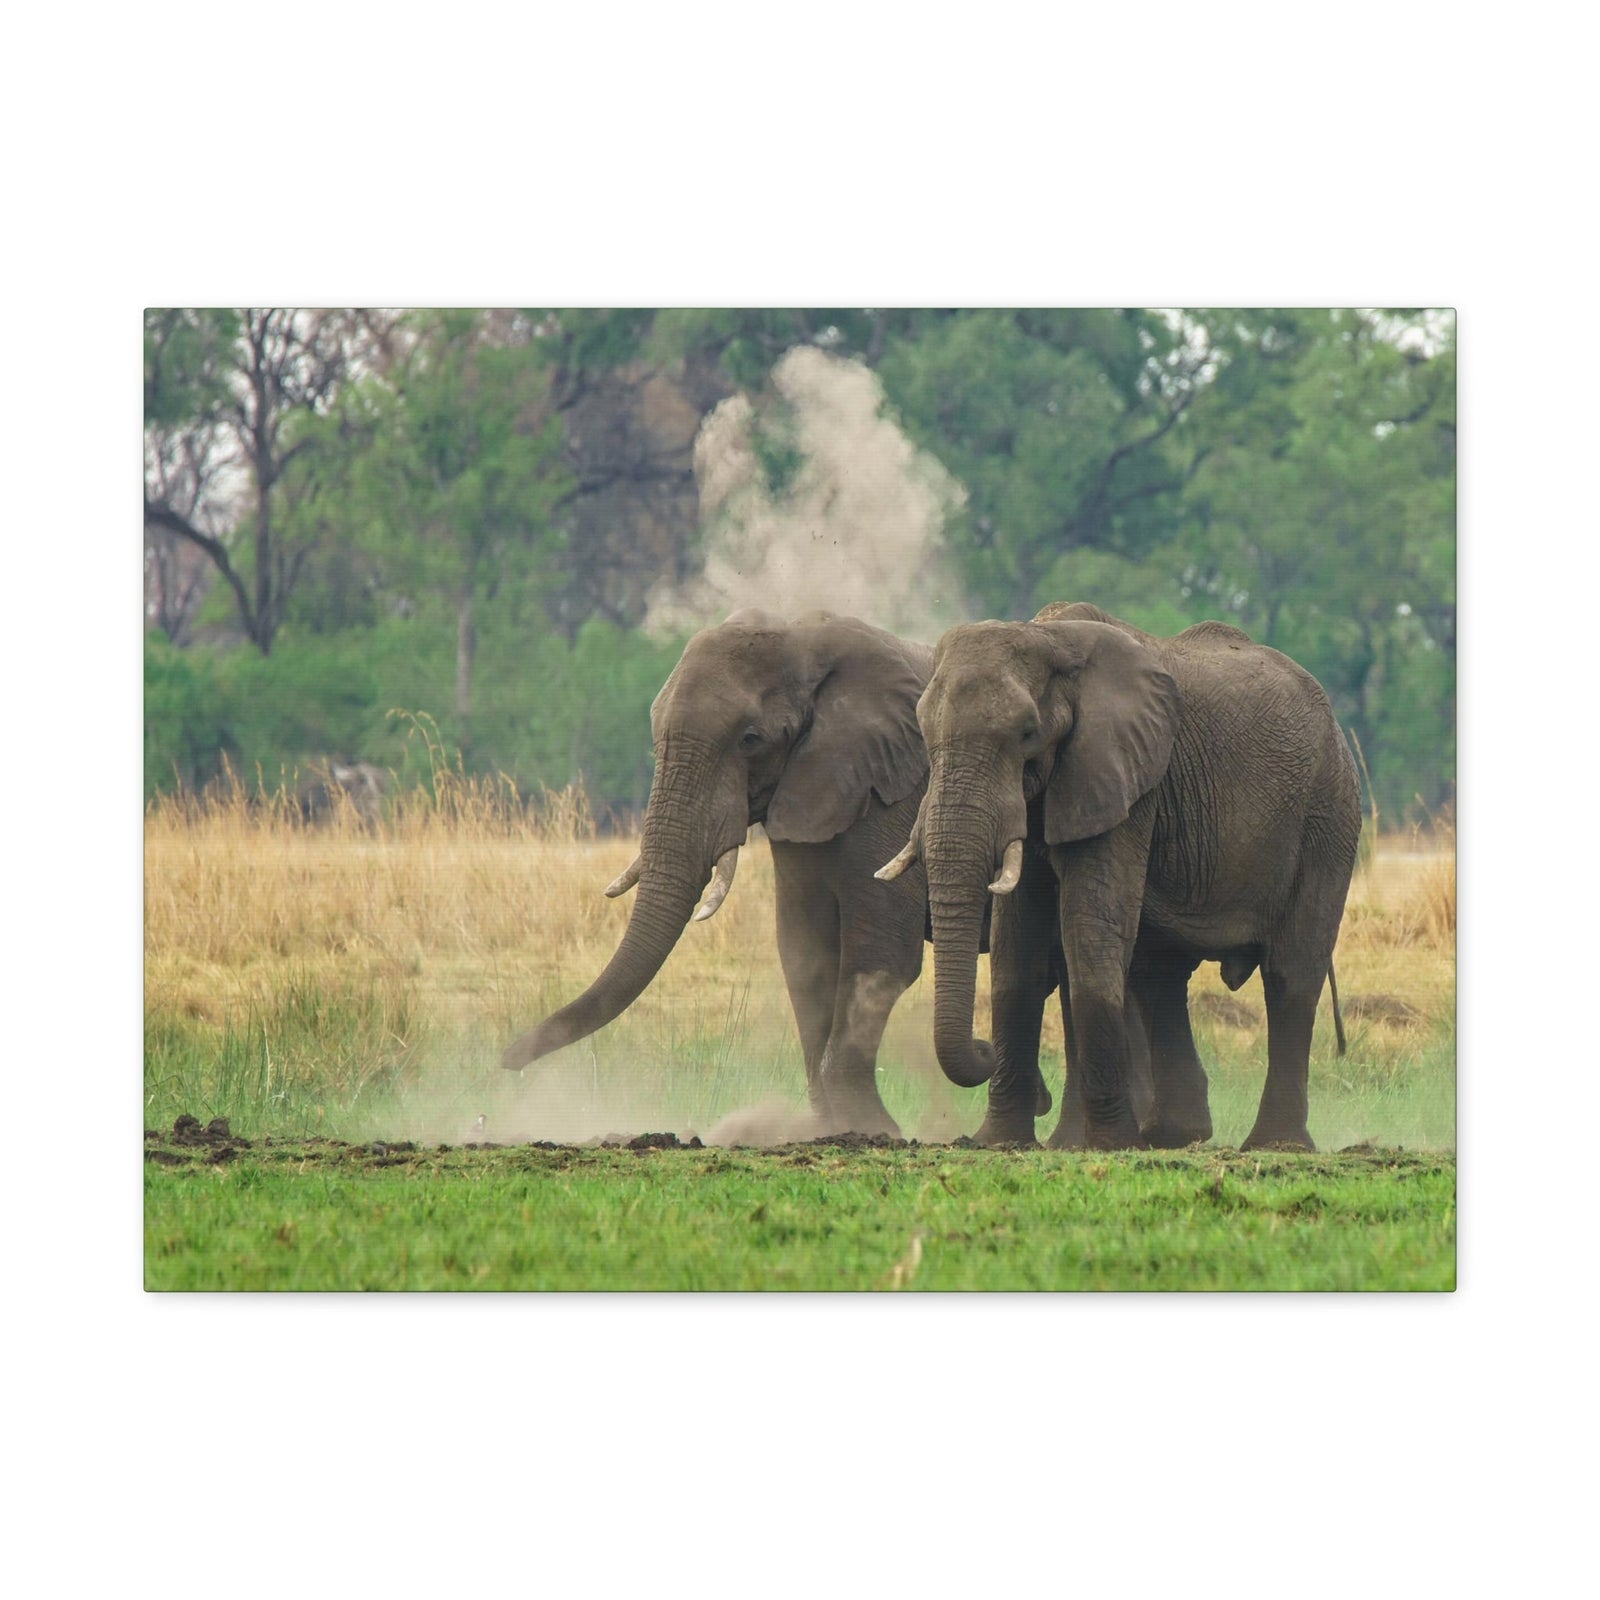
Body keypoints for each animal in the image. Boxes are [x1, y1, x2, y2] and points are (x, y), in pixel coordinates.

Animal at [501, 609, 1016, 1139]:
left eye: (750, 740)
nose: (507, 1062)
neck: (806, 639)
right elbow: (804, 955)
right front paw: (831, 1128)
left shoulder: (890, 793)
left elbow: (880, 955)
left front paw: (873, 1129)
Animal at [877, 601, 1360, 1152]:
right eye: (923, 733)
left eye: (1026, 733)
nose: (982, 1049)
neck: (1049, 638)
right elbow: (1016, 950)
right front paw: (997, 1142)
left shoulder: (1123, 780)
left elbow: (1089, 930)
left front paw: (1105, 1144)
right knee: (1160, 974)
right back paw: (1173, 1136)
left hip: (1328, 814)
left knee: (1290, 972)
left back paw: (1274, 1145)